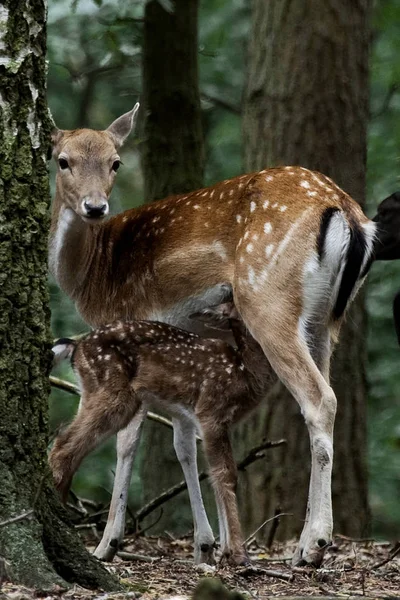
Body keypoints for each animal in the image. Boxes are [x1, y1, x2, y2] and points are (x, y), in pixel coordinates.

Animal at [49, 105, 376, 568]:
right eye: (63, 160)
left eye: (116, 162)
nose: (94, 207)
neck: (94, 273)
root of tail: (347, 212)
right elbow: (185, 439)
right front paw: (208, 544)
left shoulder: (127, 317)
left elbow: (129, 441)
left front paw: (108, 543)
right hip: (326, 320)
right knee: (327, 394)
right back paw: (302, 544)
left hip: (267, 297)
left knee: (319, 399)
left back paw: (313, 544)